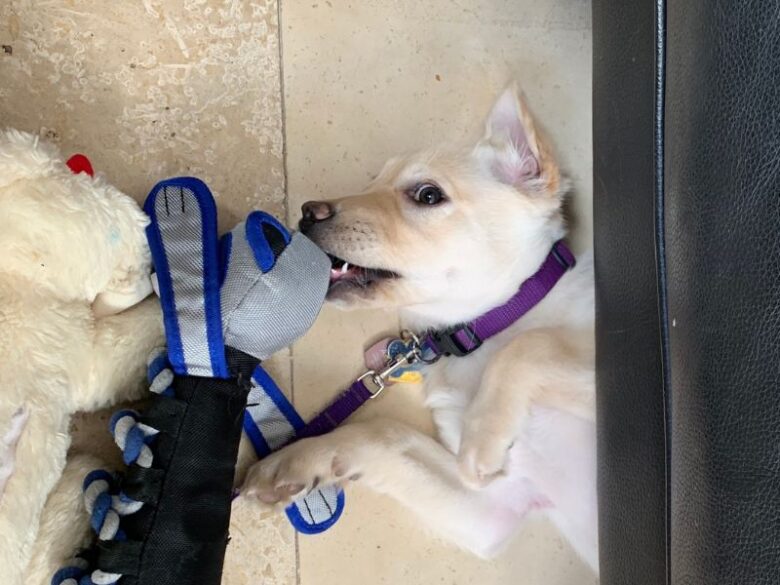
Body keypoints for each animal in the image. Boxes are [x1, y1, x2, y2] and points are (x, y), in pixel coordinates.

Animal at [244, 85, 596, 572]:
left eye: (428, 195)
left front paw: (483, 438)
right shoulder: (496, 504)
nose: (307, 213)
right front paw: (293, 462)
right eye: (372, 181)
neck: (487, 330)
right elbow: (386, 435)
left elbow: (529, 346)